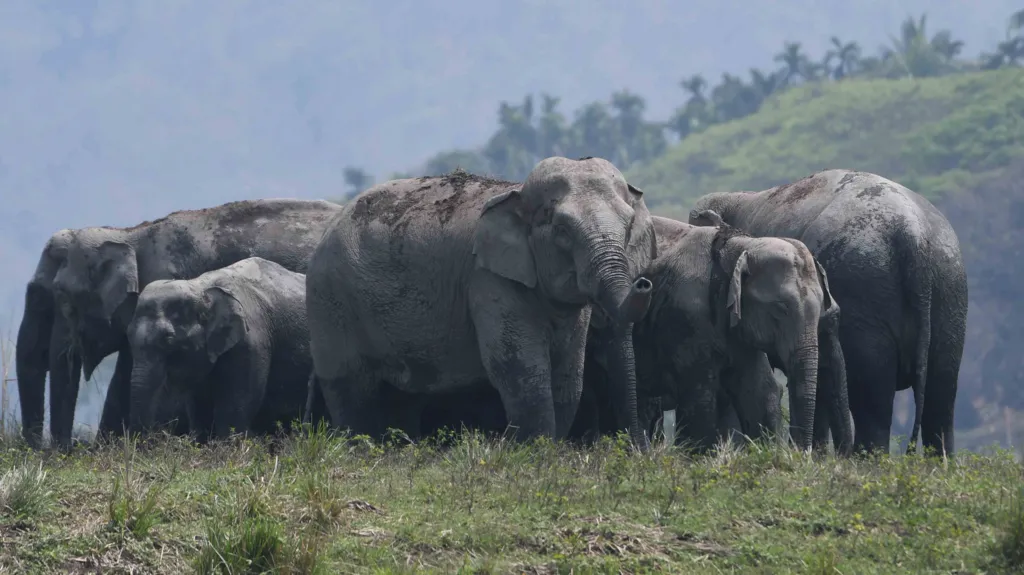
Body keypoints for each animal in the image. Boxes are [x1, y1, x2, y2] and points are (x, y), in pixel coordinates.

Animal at [126, 254, 327, 437]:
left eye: (168, 339)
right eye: (128, 335)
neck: (201, 287)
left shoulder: (251, 343)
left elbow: (234, 408)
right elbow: (199, 409)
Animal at [303, 158, 655, 446]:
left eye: (628, 226)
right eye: (562, 230)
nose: (643, 283)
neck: (516, 192)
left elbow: (568, 376)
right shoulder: (487, 279)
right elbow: (518, 368)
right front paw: (534, 452)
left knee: (402, 396)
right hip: (330, 300)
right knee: (350, 388)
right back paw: (360, 449)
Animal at [573, 214, 851, 452]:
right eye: (780, 309)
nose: (801, 452)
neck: (738, 247)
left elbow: (759, 391)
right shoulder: (685, 319)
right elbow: (701, 399)